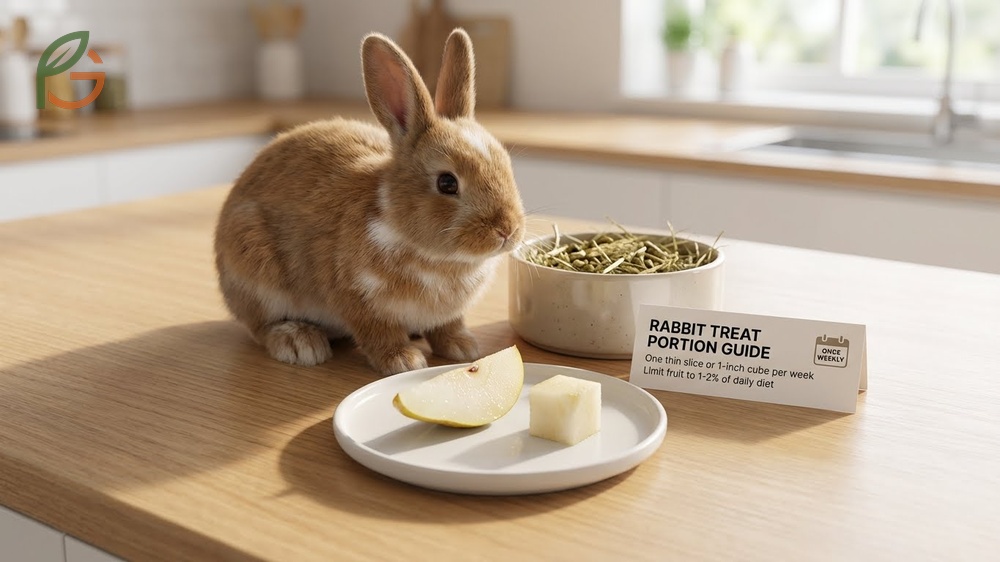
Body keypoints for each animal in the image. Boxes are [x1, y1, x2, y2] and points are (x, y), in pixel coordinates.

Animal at [213, 28, 525, 376]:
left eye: (506, 165)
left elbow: (447, 326)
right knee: (260, 327)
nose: (507, 230)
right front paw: (402, 361)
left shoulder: (446, 315)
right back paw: (299, 342)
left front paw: (462, 347)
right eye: (447, 183)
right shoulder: (358, 298)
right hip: (254, 270)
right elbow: (378, 332)